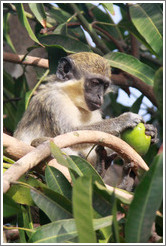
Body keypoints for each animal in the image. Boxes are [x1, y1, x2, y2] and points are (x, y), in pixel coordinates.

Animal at [13, 51, 157, 173]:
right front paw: (122, 120)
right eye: (95, 83)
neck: (72, 100)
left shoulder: (95, 112)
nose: (100, 97)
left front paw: (151, 132)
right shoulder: (53, 100)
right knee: (46, 142)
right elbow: (68, 133)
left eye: (105, 86)